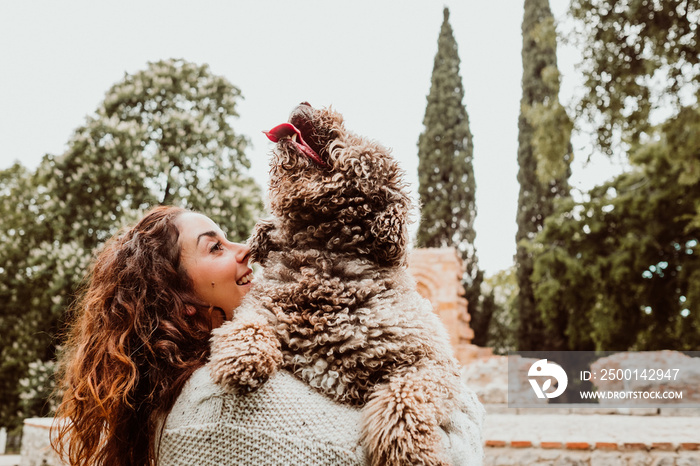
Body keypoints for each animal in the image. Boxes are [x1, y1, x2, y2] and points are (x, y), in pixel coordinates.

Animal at [211, 103, 468, 466]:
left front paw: (411, 454)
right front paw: (243, 361)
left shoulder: (429, 364)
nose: (305, 102)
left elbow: (401, 403)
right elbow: (247, 327)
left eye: (351, 135)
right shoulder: (257, 310)